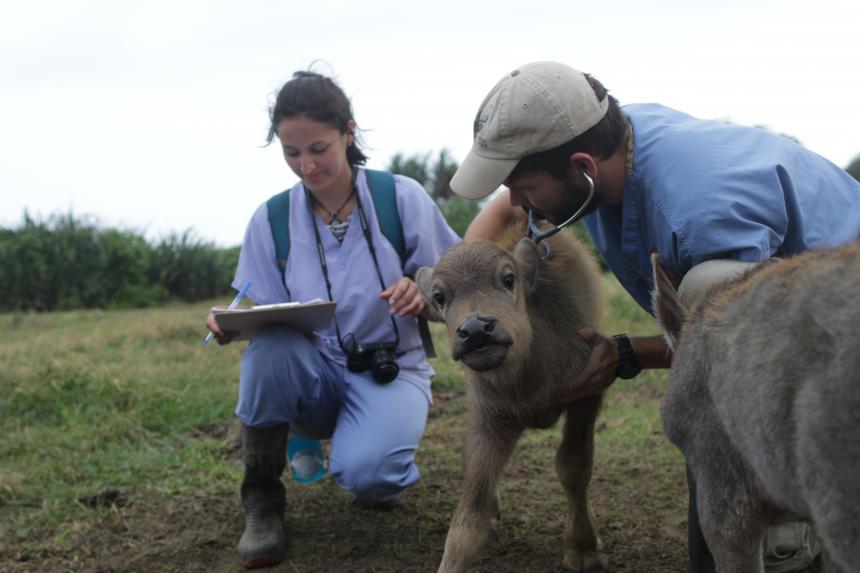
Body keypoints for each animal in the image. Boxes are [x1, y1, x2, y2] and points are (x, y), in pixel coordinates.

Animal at [416, 223, 604, 572]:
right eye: (439, 296)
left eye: (508, 279)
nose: (476, 329)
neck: (527, 380)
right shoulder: (490, 420)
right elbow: (468, 519)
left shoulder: (588, 394)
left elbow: (574, 468)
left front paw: (583, 548)